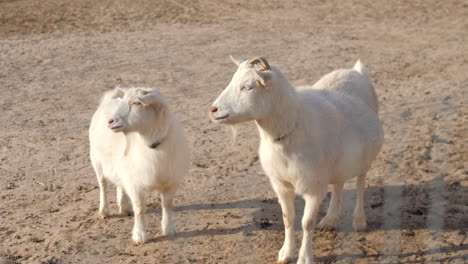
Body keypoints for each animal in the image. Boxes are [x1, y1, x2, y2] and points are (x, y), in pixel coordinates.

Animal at [88, 87, 189, 244]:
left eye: (137, 103)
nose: (110, 121)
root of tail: (109, 99)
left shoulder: (170, 181)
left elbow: (167, 204)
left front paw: (168, 229)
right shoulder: (135, 184)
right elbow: (140, 208)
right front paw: (139, 235)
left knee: (119, 184)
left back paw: (124, 207)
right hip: (97, 160)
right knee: (103, 184)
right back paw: (104, 211)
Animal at [210, 57, 382, 264]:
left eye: (248, 87)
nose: (213, 110)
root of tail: (356, 71)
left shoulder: (314, 187)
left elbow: (307, 223)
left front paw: (305, 257)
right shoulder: (281, 184)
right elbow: (288, 218)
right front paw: (286, 253)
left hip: (365, 159)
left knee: (360, 184)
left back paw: (359, 221)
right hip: (338, 163)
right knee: (339, 184)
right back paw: (330, 219)